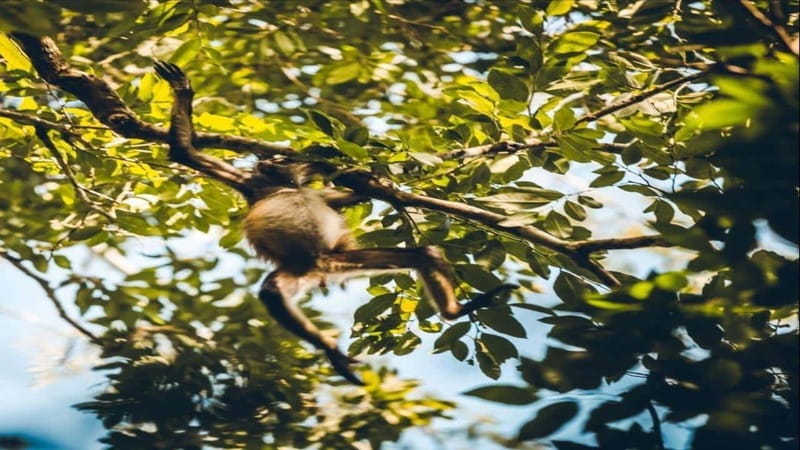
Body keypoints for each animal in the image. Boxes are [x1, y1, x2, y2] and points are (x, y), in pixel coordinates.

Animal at [153, 61, 514, 384]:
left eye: (281, 159)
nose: (275, 158)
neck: (285, 187)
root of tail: (320, 265)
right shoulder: (248, 184)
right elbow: (184, 154)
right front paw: (182, 90)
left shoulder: (320, 195)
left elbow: (362, 194)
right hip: (299, 269)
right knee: (272, 292)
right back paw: (331, 352)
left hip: (343, 260)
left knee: (425, 254)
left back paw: (455, 312)